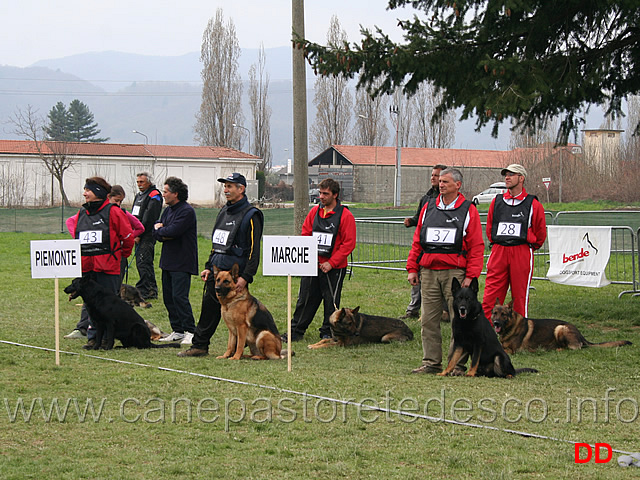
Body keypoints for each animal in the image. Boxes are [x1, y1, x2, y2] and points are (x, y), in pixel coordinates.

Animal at [490, 300, 632, 352]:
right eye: (494, 313)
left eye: (503, 314)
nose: (496, 323)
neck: (511, 326)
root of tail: (581, 335)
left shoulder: (512, 351)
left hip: (560, 328)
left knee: (573, 348)